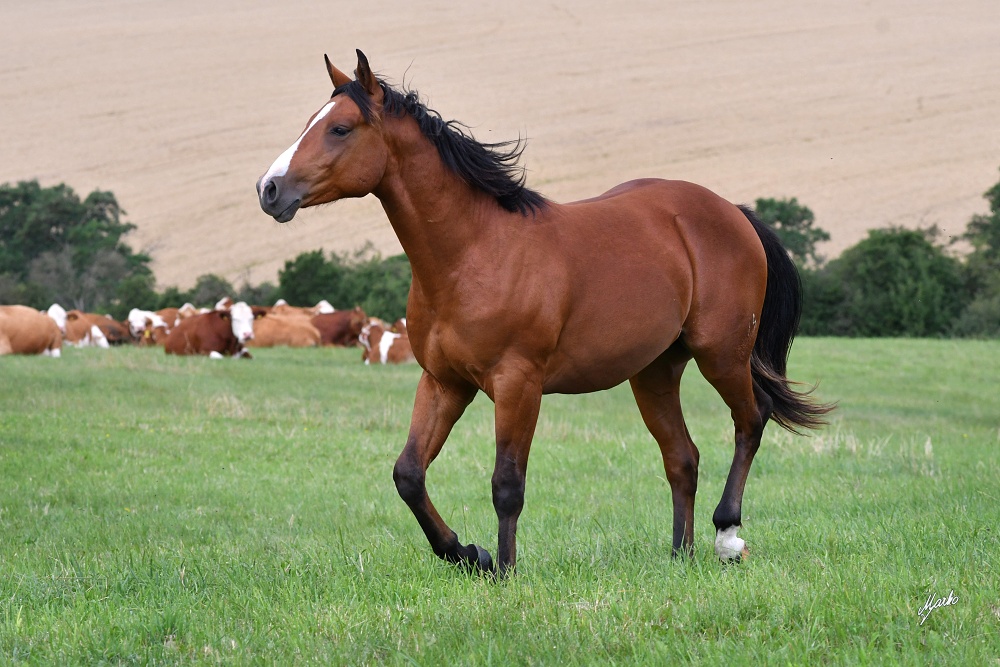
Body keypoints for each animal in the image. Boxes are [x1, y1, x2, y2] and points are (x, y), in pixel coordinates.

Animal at [256, 51, 828, 576]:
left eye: (340, 128)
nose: (269, 189)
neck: (473, 252)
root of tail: (733, 213)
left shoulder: (517, 384)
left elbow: (507, 484)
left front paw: (504, 569)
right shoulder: (444, 382)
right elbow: (409, 474)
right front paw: (468, 554)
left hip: (721, 354)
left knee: (751, 419)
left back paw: (727, 537)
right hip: (654, 372)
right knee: (682, 458)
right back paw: (679, 556)